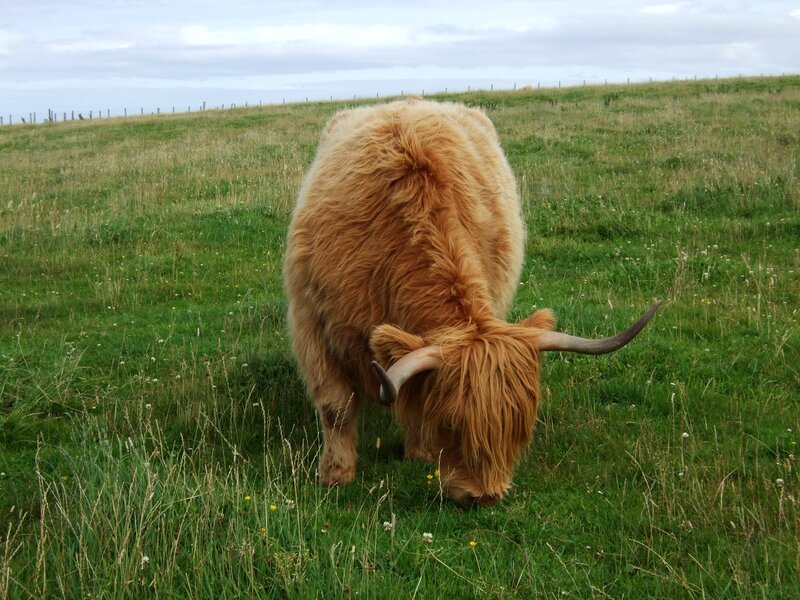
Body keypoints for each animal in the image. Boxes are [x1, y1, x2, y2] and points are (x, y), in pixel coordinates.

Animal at [284, 98, 660, 507]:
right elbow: (336, 408)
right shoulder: (312, 325)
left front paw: (418, 451)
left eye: (519, 427)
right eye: (450, 424)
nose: (484, 496)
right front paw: (336, 475)